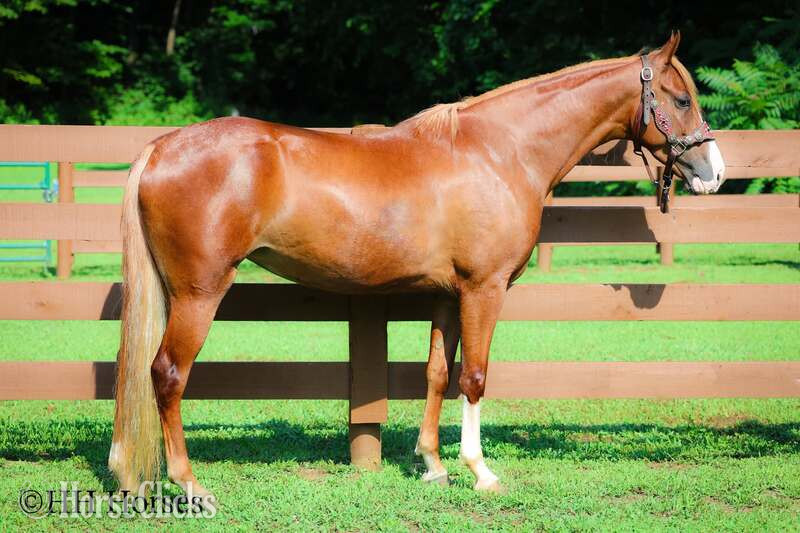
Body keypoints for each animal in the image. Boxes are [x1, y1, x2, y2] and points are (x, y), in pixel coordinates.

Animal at [108, 31, 726, 498]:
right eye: (679, 100)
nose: (713, 172)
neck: (499, 151)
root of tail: (163, 147)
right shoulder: (484, 290)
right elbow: (474, 376)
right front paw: (480, 472)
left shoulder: (448, 295)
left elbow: (436, 374)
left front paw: (432, 466)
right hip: (199, 293)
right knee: (167, 374)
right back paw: (189, 484)